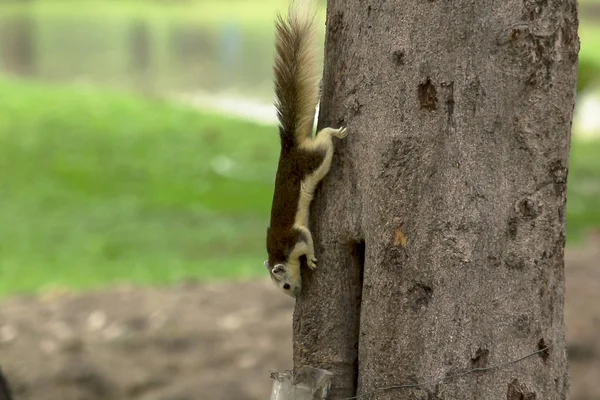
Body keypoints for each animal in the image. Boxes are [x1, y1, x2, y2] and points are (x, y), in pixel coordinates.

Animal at [262, 1, 346, 298]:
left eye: (286, 284)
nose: (296, 294)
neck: (278, 252)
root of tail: (290, 148)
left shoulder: (294, 237)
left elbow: (307, 240)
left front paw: (309, 259)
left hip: (316, 159)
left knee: (324, 141)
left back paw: (335, 132)